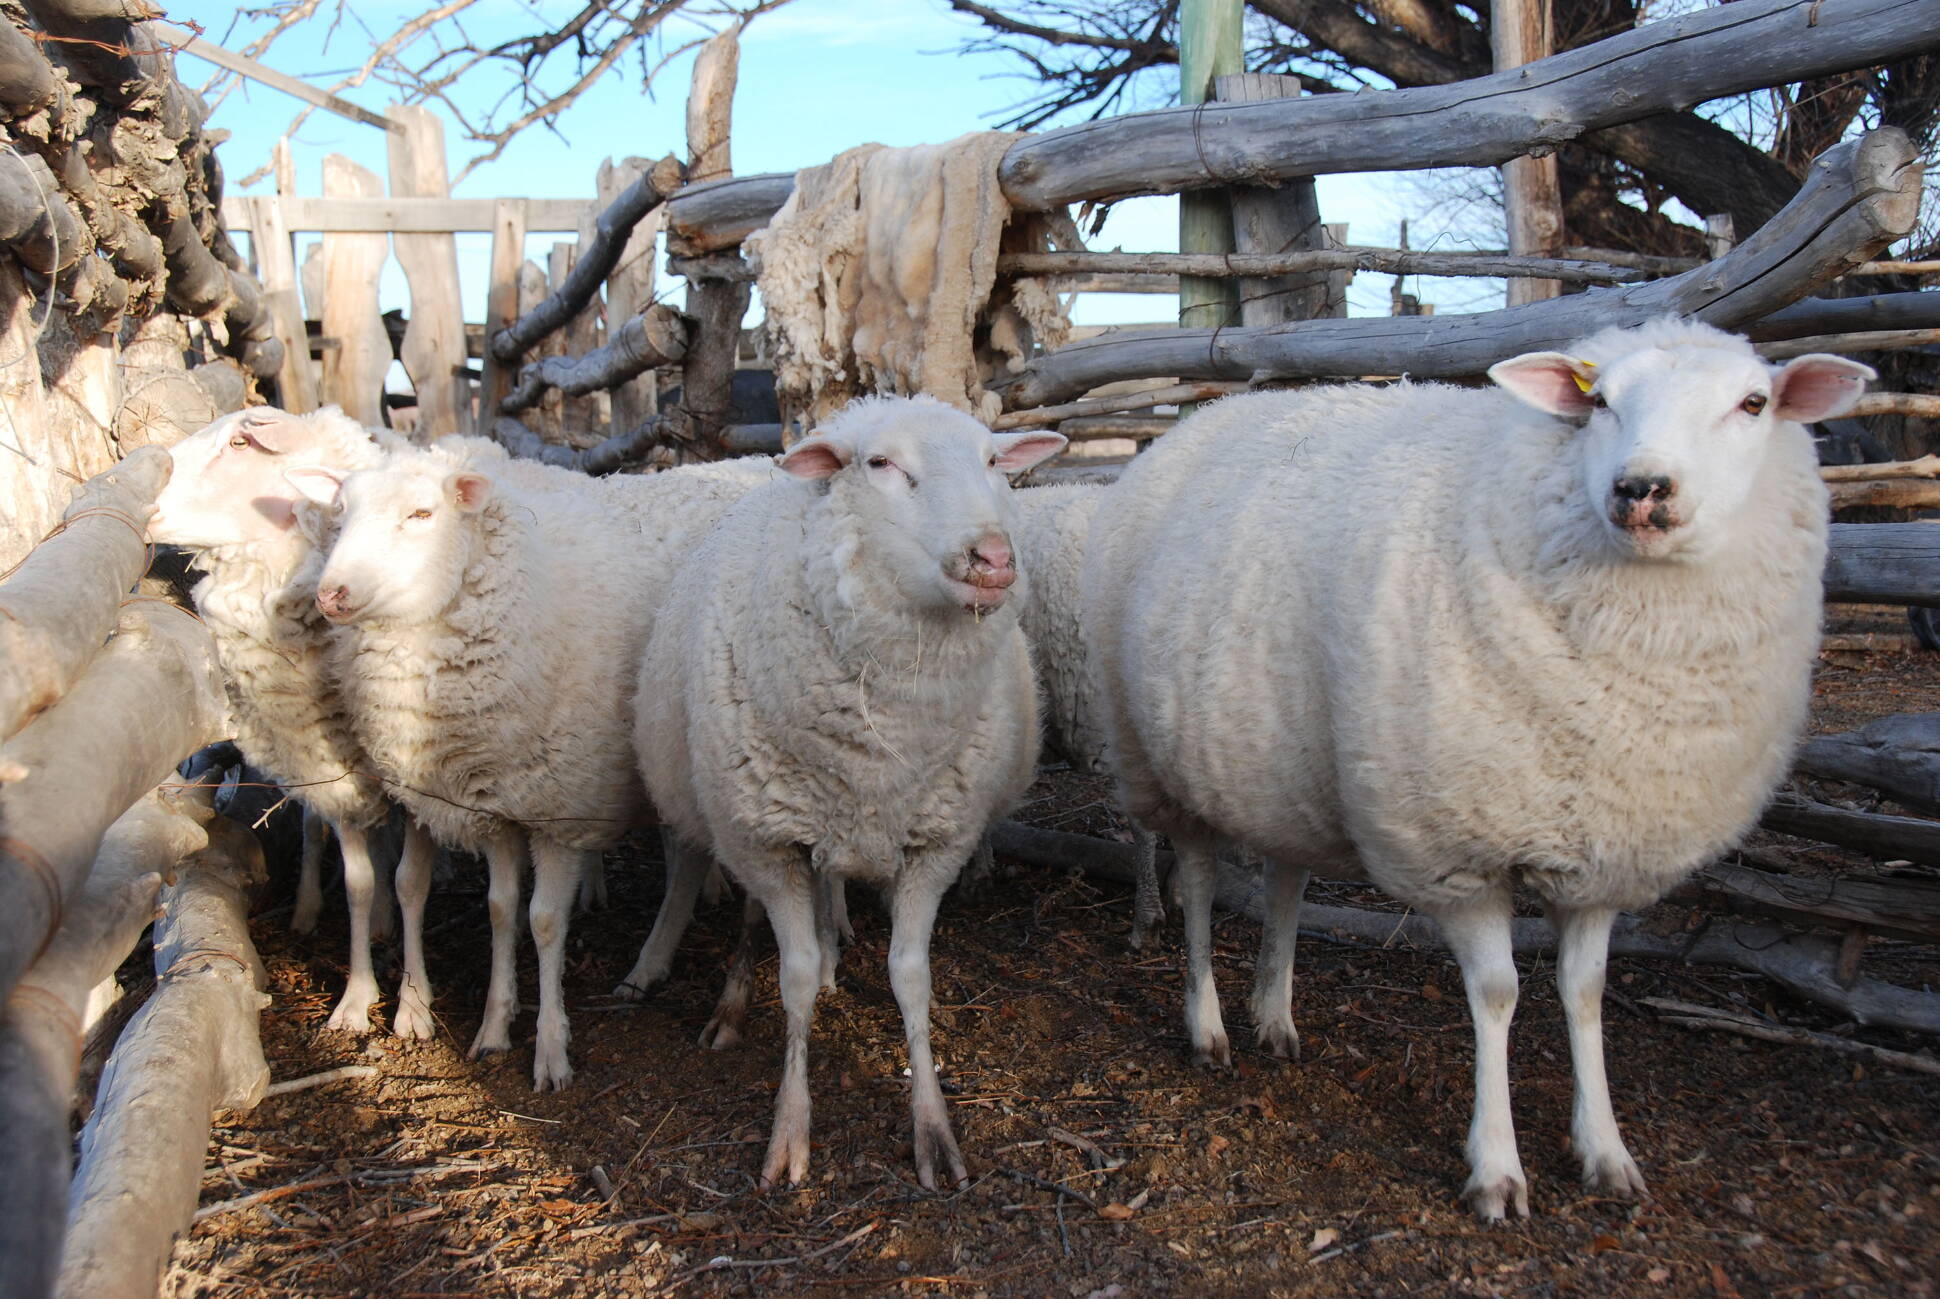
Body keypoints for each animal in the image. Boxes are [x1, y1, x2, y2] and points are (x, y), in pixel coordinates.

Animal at [151, 407, 440, 1039]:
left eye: (240, 442)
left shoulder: (413, 783)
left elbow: (411, 881)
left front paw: (413, 1005)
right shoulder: (338, 771)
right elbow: (358, 885)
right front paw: (356, 998)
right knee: (314, 829)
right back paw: (315, 907)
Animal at [289, 442, 772, 1093]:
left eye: (421, 513)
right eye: (340, 513)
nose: (331, 595)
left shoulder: (561, 810)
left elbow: (544, 920)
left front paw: (550, 1049)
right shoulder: (495, 804)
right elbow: (501, 910)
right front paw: (495, 1027)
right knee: (690, 859)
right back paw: (647, 968)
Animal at [636, 397, 1063, 1194]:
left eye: (994, 461)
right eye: (880, 464)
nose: (993, 559)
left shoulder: (936, 841)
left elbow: (911, 977)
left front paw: (933, 1129)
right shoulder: (769, 842)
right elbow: (796, 978)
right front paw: (789, 1131)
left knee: (832, 882)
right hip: (746, 817)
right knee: (757, 919)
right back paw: (736, 1002)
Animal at [1078, 317, 1862, 1225]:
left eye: (1754, 402)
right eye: (1599, 400)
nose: (1642, 488)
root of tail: (1197, 420)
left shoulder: (1603, 846)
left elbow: (1585, 989)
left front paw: (1605, 1149)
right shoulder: (1456, 851)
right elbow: (1496, 994)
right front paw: (1496, 1167)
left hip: (1284, 771)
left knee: (1286, 883)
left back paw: (1273, 1013)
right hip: (1159, 758)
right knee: (1202, 885)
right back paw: (1207, 1025)